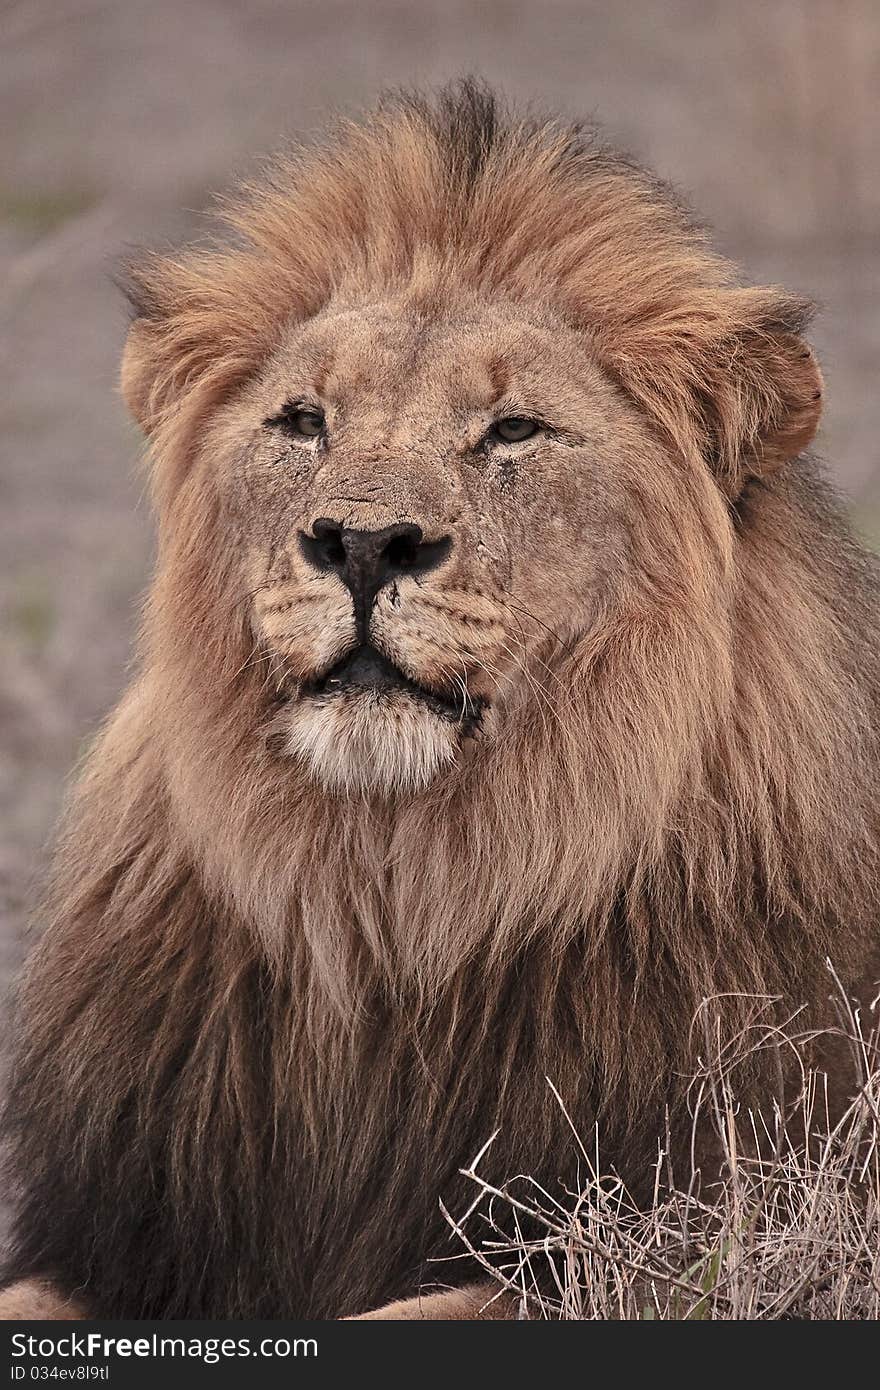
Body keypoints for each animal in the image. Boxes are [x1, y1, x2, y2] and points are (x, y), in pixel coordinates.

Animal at [1, 81, 878, 1317]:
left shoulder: (644, 1242)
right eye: (303, 420)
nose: (365, 545)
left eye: (512, 429)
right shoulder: (113, 1245)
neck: (401, 895)